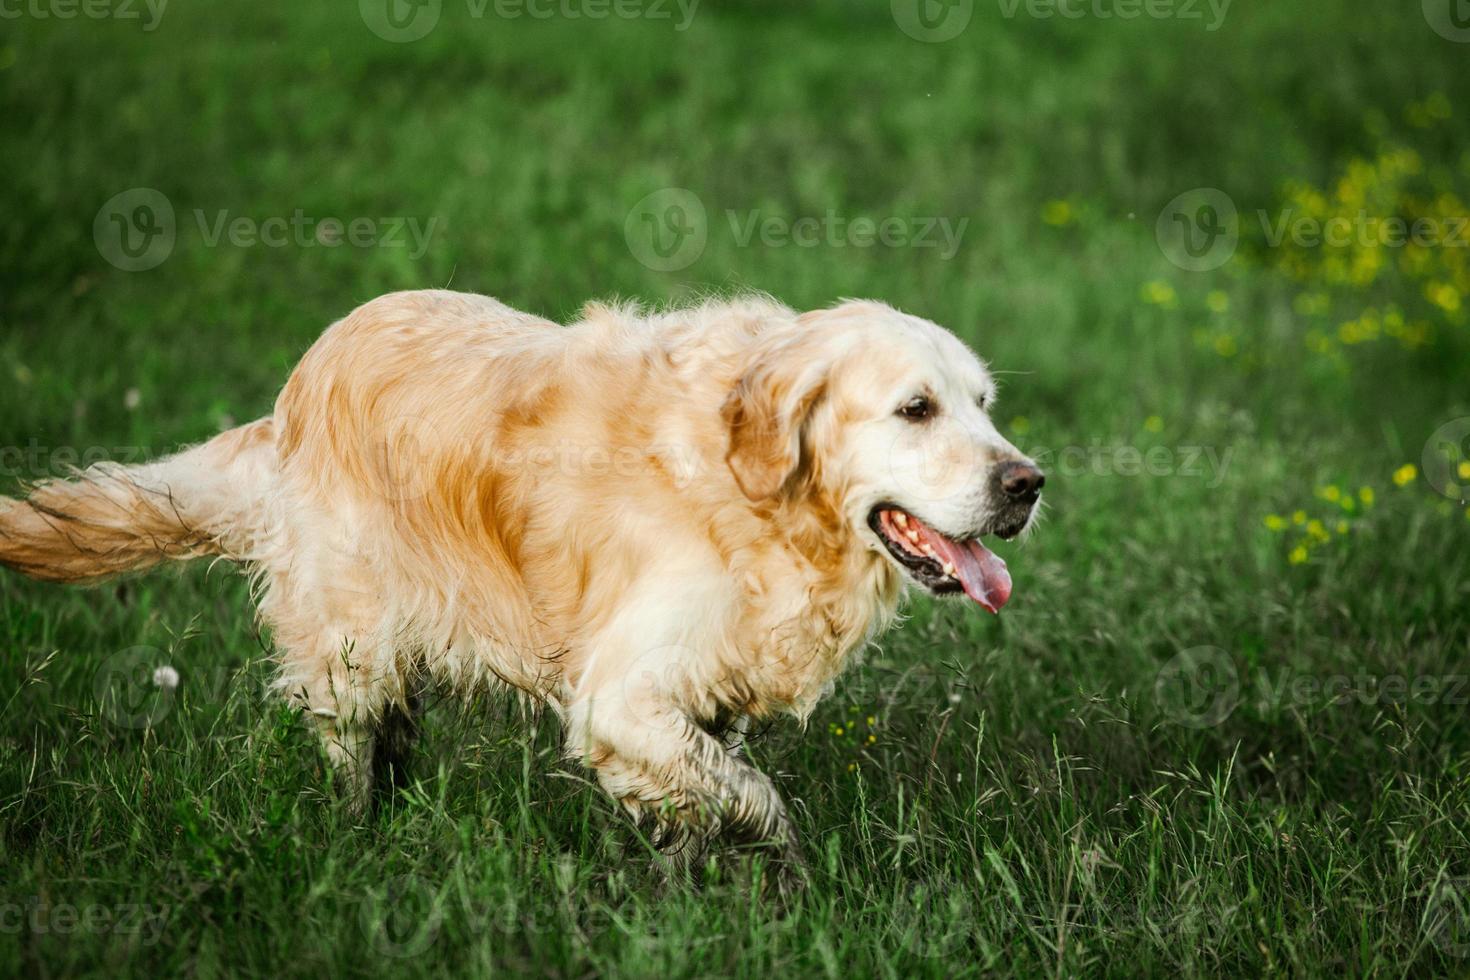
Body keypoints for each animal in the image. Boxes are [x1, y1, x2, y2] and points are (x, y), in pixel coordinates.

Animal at [0, 290, 1046, 887]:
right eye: (915, 408)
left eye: (984, 404)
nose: (1027, 483)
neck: (756, 499)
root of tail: (294, 391)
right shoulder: (620, 695)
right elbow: (755, 799)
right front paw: (779, 872)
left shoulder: (701, 691)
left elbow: (711, 786)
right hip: (351, 642)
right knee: (351, 755)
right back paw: (353, 844)